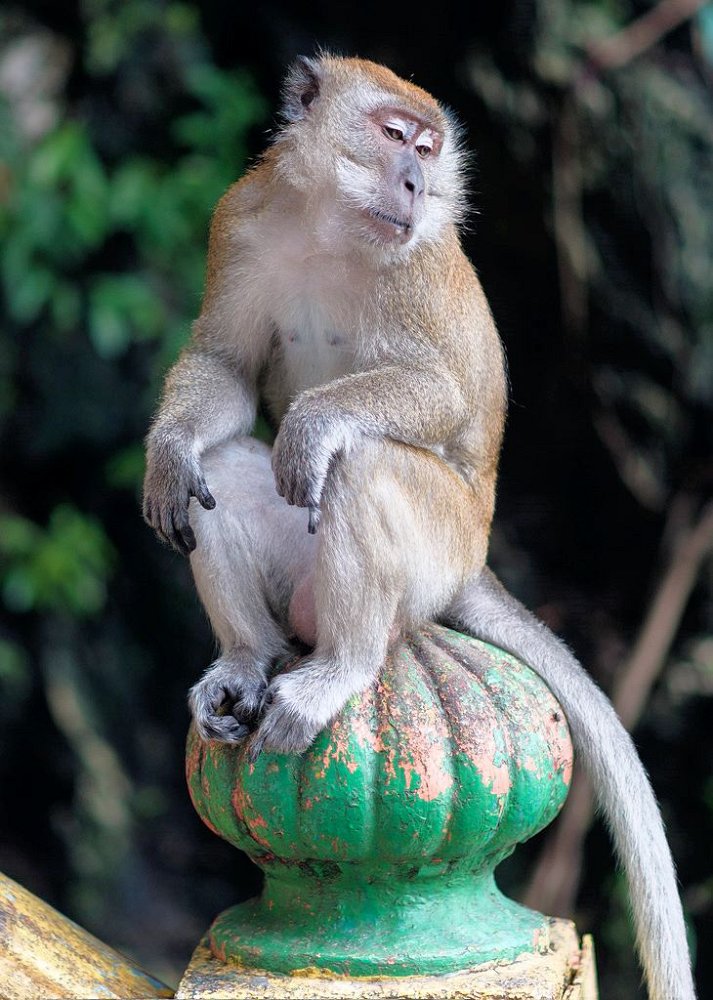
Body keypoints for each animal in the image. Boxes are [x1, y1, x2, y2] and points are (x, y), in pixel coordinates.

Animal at [142, 55, 696, 1000]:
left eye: (430, 150)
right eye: (395, 134)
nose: (415, 181)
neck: (329, 231)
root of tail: (475, 564)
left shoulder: (417, 265)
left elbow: (437, 393)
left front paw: (312, 424)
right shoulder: (240, 220)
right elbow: (224, 368)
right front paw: (168, 453)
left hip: (437, 551)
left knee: (365, 464)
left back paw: (343, 665)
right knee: (225, 470)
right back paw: (247, 660)